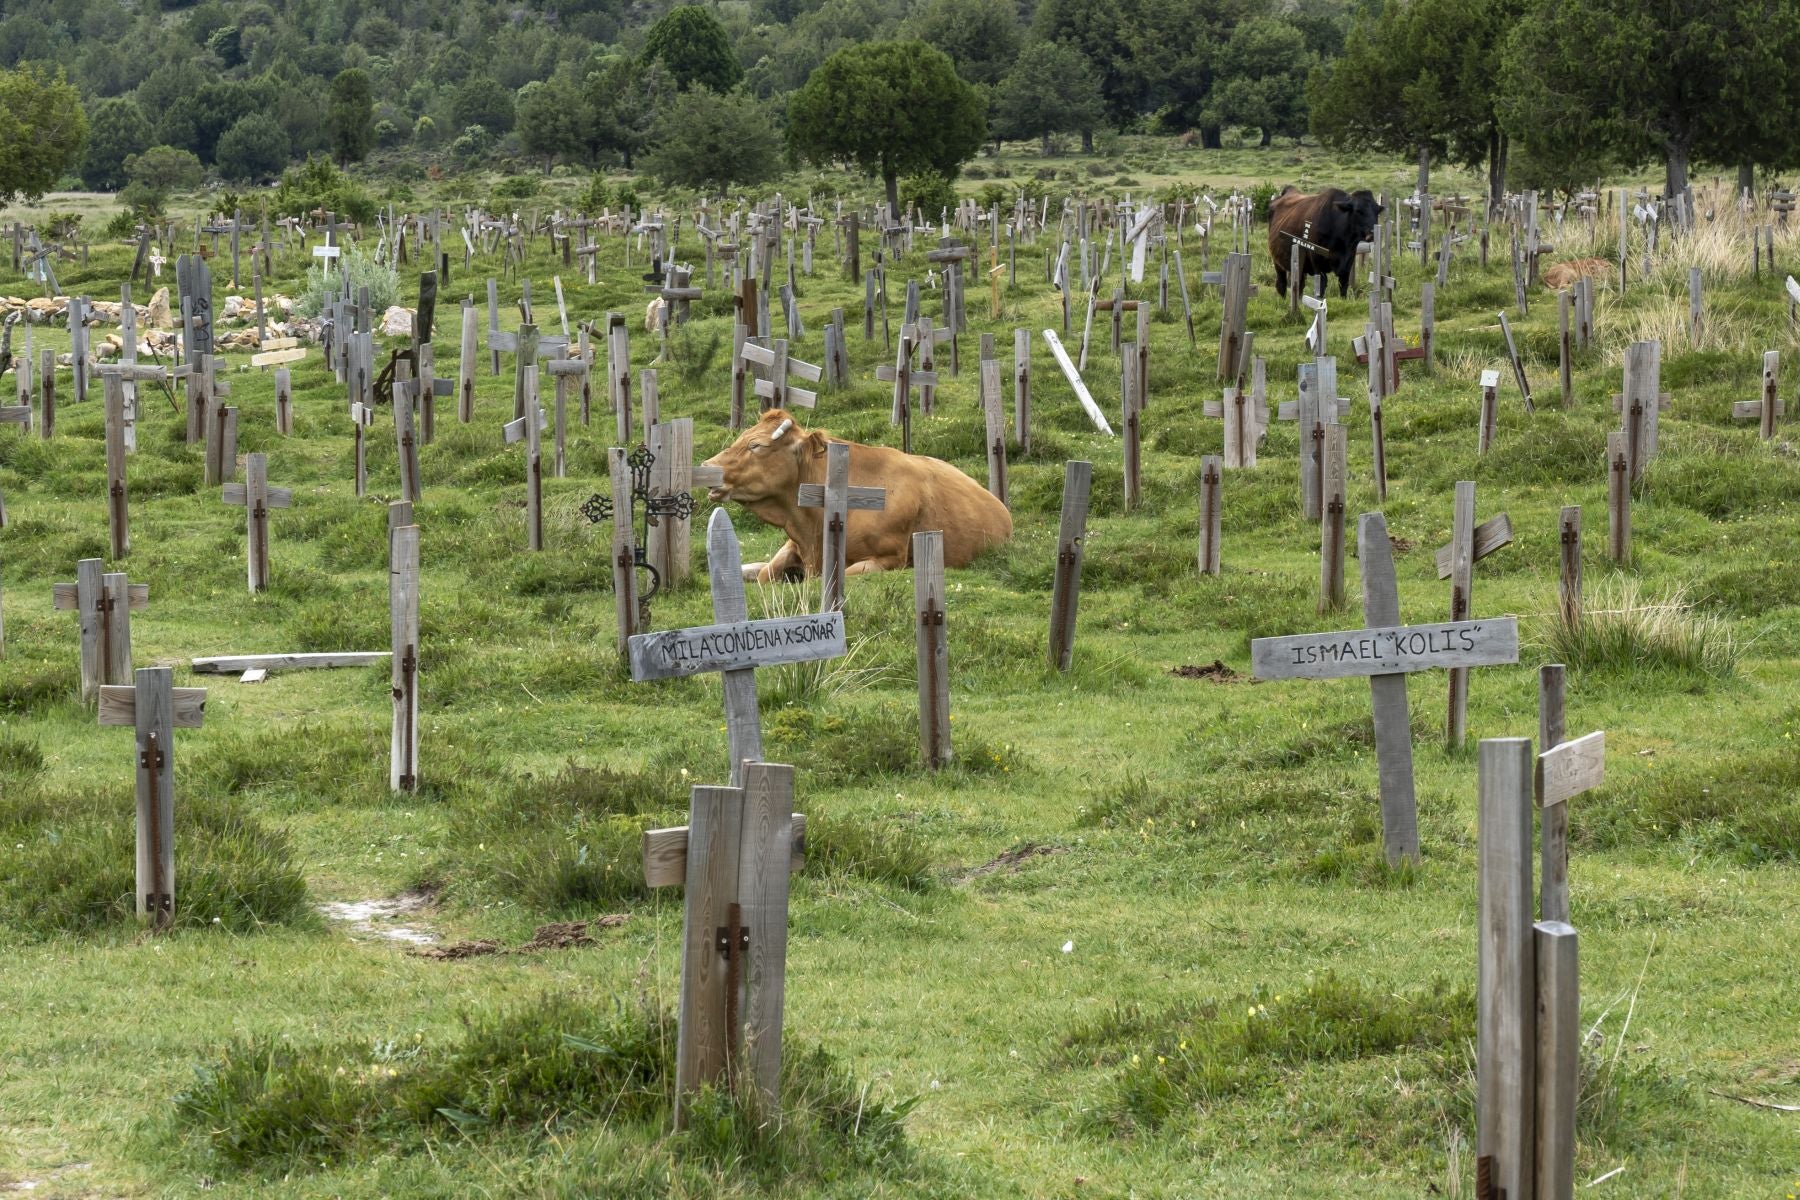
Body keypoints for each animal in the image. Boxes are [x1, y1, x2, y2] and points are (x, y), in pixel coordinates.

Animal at [702, 410, 1015, 582]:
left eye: (756, 445)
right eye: (741, 438)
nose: (706, 467)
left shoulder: (889, 559)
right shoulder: (795, 543)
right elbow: (765, 573)